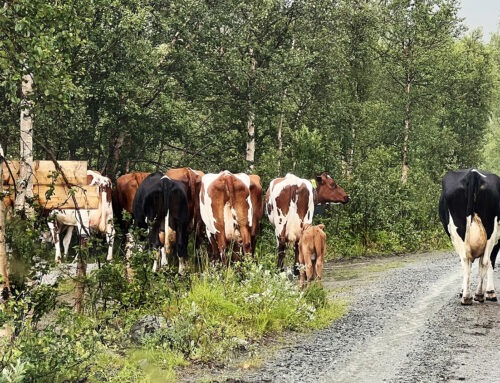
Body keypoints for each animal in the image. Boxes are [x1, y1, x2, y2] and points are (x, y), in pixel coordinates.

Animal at [440, 168, 498, 306]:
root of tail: (473, 173)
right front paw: (490, 292)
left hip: (458, 232)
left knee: (466, 260)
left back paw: (467, 296)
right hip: (490, 231)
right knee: (484, 261)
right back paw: (478, 295)